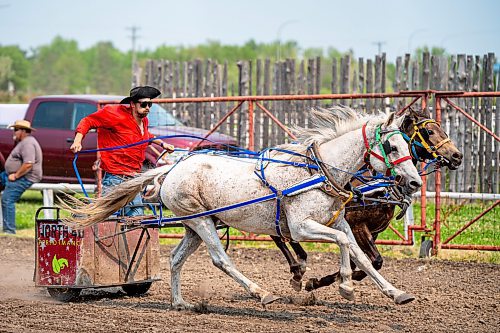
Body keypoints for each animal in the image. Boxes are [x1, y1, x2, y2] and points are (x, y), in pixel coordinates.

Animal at [62, 106, 422, 308]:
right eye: (391, 146)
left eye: (409, 145)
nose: (415, 183)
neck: (317, 171)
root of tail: (171, 169)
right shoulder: (301, 227)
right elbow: (346, 246)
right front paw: (345, 287)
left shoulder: (338, 222)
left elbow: (362, 255)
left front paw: (396, 293)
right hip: (203, 224)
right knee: (221, 259)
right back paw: (261, 293)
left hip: (194, 225)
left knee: (177, 259)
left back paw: (180, 303)